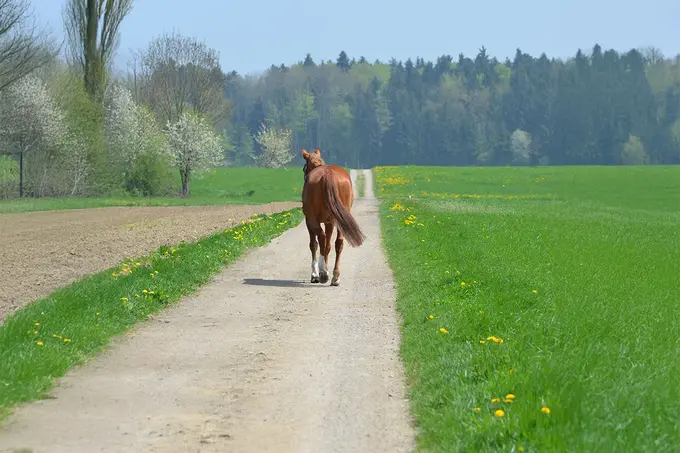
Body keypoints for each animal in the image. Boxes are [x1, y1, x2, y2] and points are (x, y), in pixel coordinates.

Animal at [301, 147, 366, 286]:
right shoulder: (329, 222)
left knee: (321, 237)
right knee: (338, 242)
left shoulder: (309, 221)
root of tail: (327, 174)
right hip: (339, 220)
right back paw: (335, 276)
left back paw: (323, 273)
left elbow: (314, 244)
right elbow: (328, 246)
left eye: (304, 168)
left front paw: (315, 274)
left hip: (313, 220)